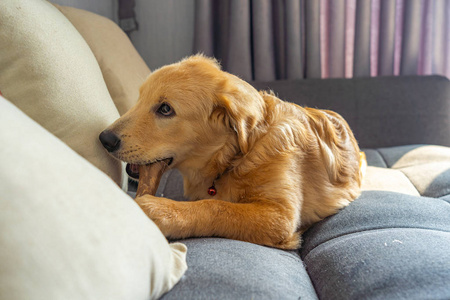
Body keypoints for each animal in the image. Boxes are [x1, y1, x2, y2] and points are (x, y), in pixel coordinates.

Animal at [99, 55, 366, 250]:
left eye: (165, 109)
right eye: (139, 99)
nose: (104, 139)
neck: (237, 157)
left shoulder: (280, 216)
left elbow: (215, 206)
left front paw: (161, 211)